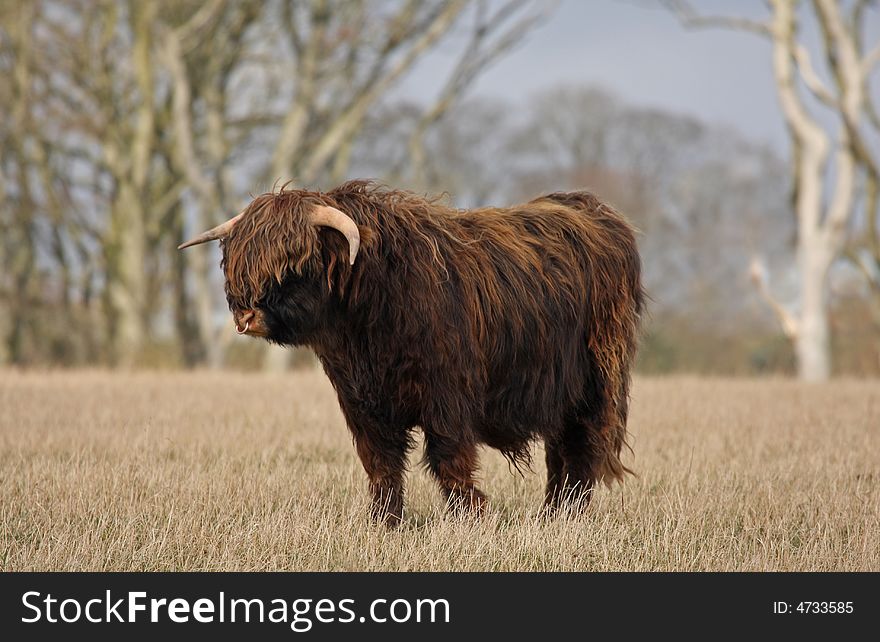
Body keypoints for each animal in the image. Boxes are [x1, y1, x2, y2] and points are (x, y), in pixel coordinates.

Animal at [180, 180, 648, 524]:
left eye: (293, 262)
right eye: (237, 263)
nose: (246, 315)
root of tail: (591, 208)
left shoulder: (447, 395)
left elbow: (448, 457)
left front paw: (471, 517)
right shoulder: (361, 401)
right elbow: (380, 461)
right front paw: (385, 520)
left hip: (597, 381)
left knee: (583, 447)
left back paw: (567, 515)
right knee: (560, 450)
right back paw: (552, 513)